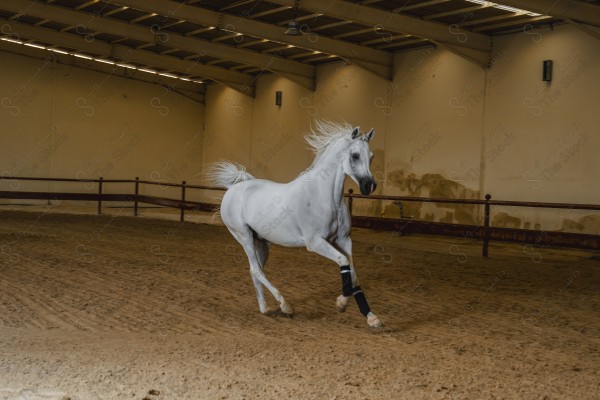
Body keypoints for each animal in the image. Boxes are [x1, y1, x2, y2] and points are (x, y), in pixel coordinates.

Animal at [209, 122, 382, 328]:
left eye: (371, 156)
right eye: (355, 155)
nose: (369, 186)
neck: (325, 196)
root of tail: (233, 189)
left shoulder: (344, 240)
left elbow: (353, 274)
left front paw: (371, 317)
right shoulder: (315, 243)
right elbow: (344, 262)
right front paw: (341, 303)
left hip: (262, 242)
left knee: (255, 270)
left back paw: (265, 308)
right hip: (244, 236)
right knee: (256, 270)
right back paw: (285, 306)